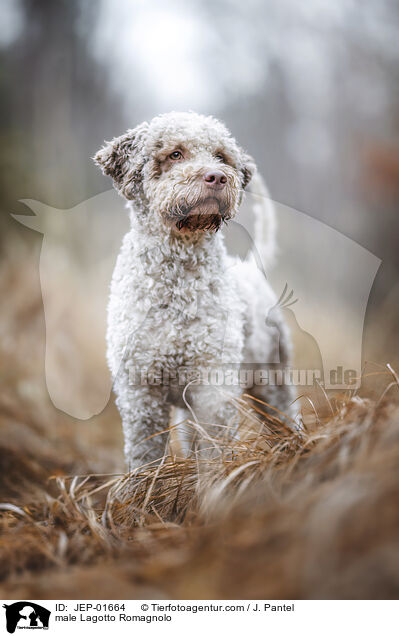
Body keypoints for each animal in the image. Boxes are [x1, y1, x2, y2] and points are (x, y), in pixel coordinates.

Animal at [93, 112, 294, 470]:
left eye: (221, 156)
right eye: (175, 154)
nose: (217, 177)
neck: (176, 282)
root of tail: (249, 267)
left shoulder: (212, 386)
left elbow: (215, 449)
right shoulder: (140, 393)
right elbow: (144, 457)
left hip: (273, 380)